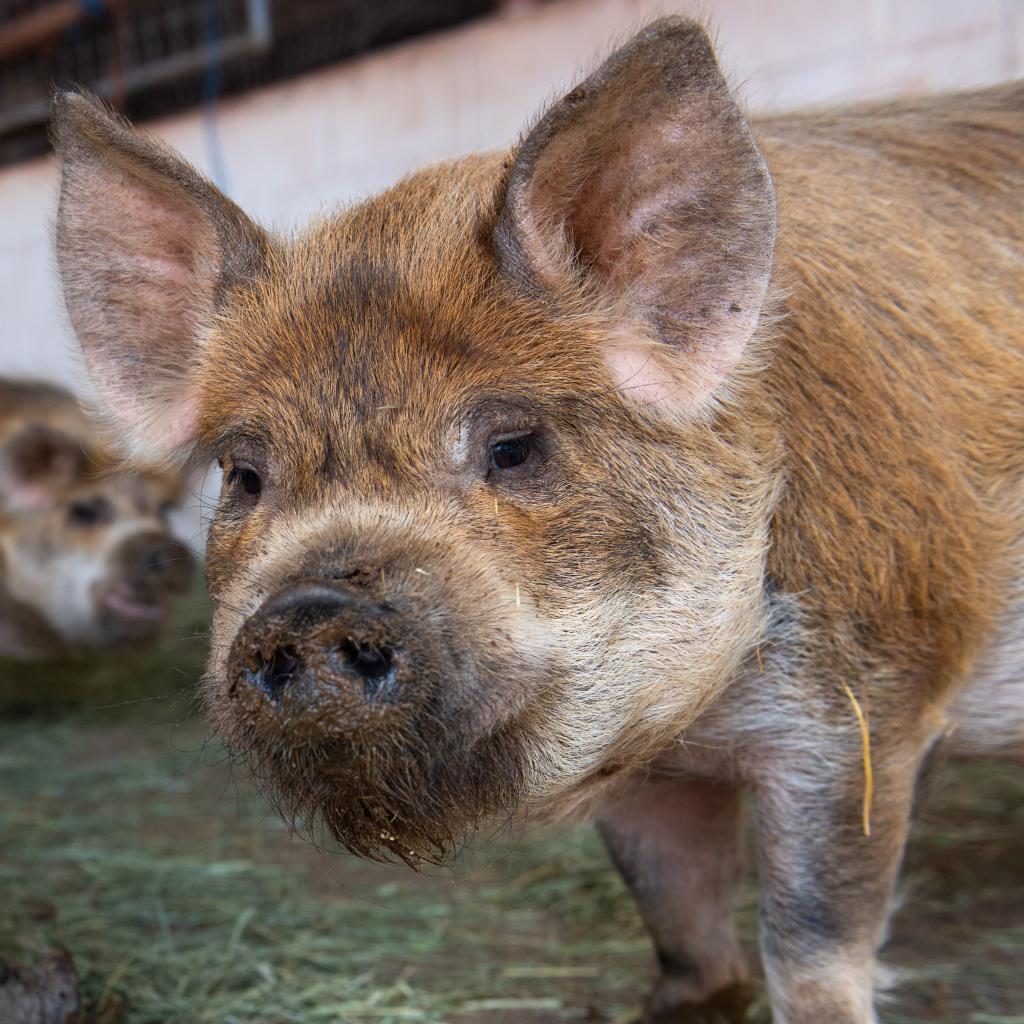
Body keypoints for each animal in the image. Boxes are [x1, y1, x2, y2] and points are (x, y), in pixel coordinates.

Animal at [49, 22, 1024, 1024]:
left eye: (514, 447)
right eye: (244, 474)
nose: (311, 608)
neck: (704, 724)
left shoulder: (872, 699)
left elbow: (814, 948)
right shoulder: (647, 764)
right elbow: (680, 924)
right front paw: (676, 1002)